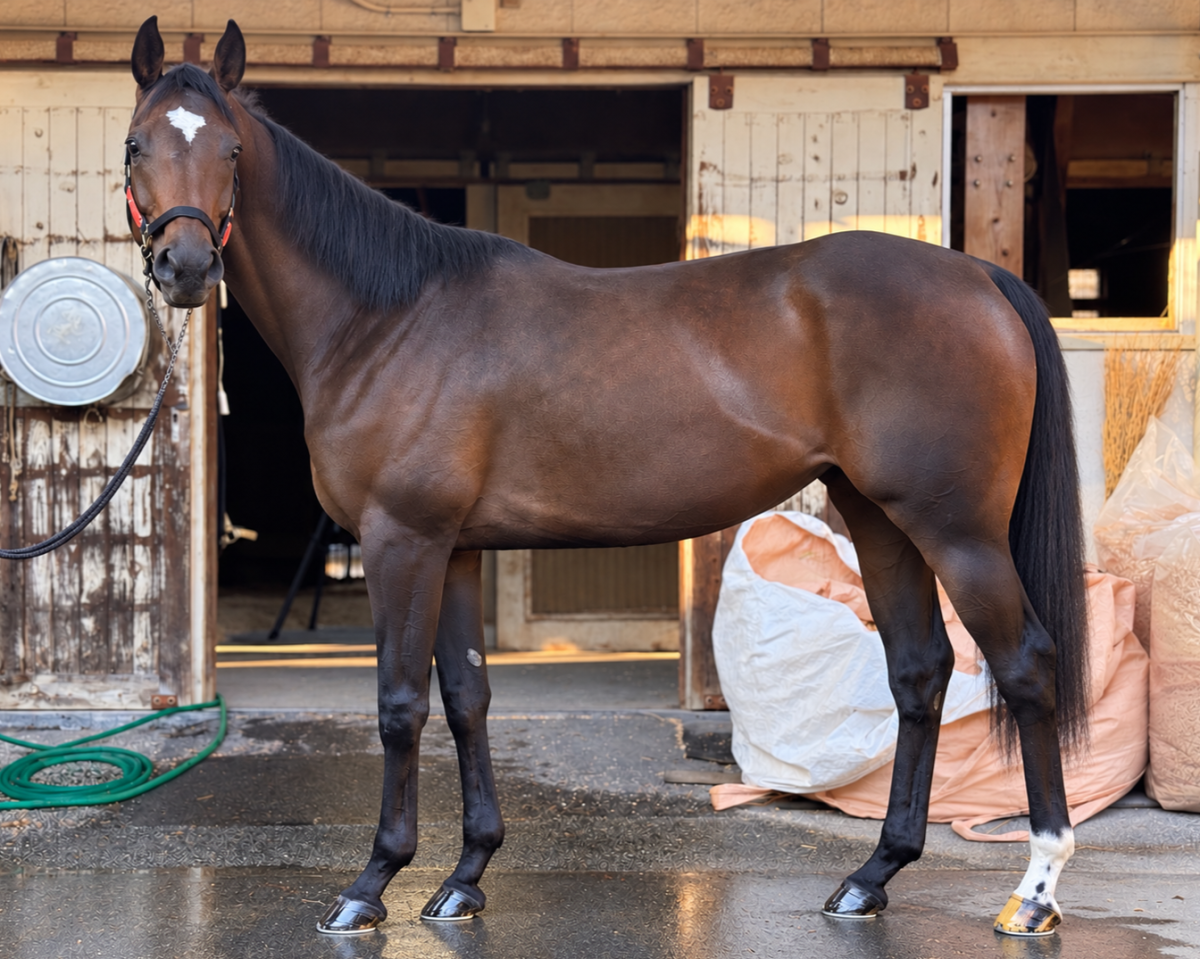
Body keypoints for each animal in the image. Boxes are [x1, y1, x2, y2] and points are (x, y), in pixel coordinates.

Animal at [122, 16, 1089, 939]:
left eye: (231, 151)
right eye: (137, 145)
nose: (186, 269)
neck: (387, 318)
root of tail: (978, 276)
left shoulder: (404, 541)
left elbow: (400, 705)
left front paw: (369, 887)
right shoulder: (455, 549)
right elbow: (467, 696)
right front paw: (464, 877)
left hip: (959, 531)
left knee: (1024, 665)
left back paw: (1034, 891)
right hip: (882, 519)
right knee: (919, 673)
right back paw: (870, 876)